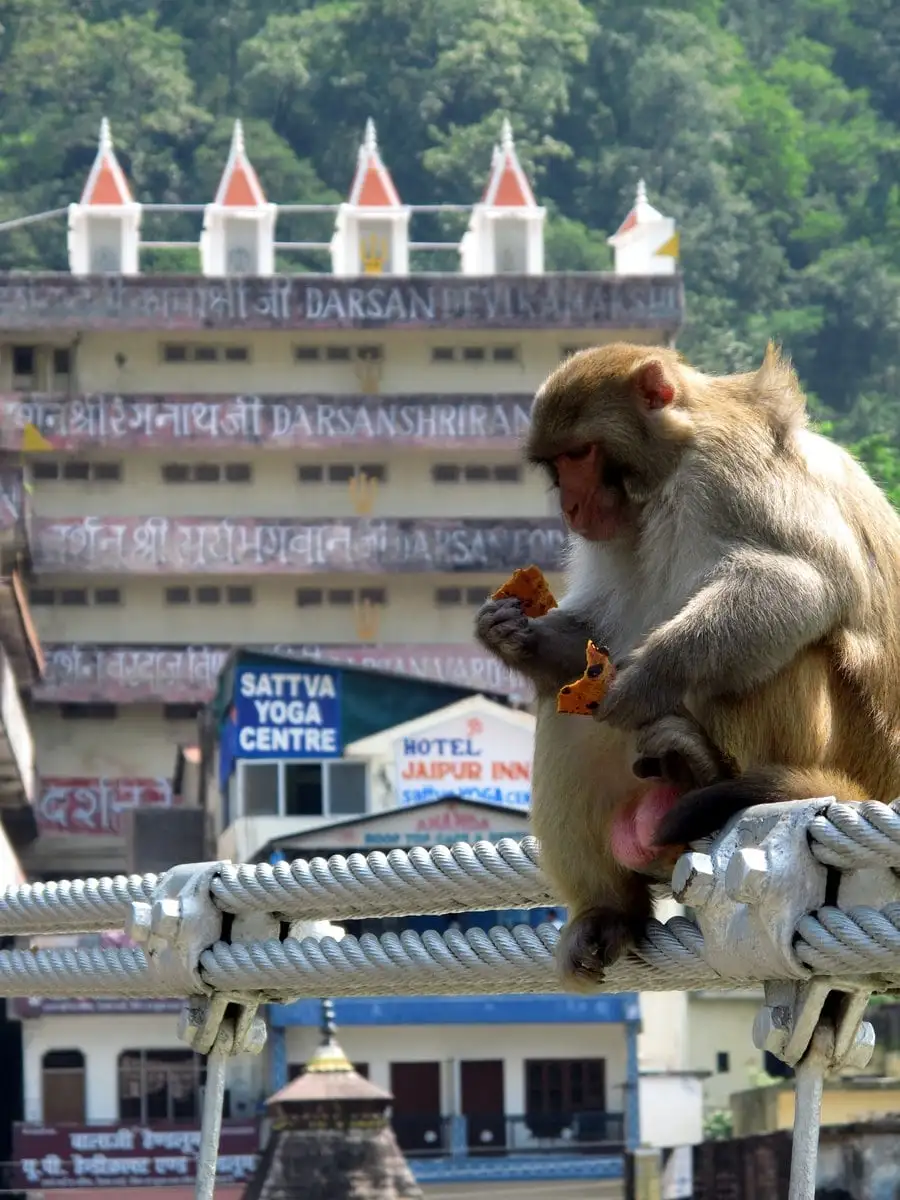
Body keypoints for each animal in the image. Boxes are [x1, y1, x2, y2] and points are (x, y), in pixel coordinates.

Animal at [475, 343, 900, 988]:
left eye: (581, 454)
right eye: (557, 463)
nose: (570, 506)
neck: (664, 475)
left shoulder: (730, 468)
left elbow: (801, 581)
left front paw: (649, 676)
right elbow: (596, 639)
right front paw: (512, 636)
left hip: (847, 751)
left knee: (782, 651)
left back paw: (708, 774)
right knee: (565, 708)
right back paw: (608, 911)